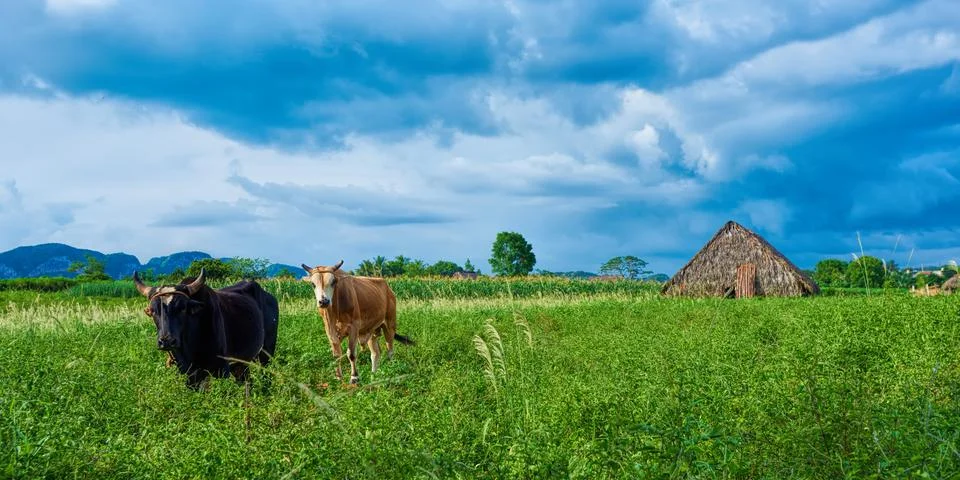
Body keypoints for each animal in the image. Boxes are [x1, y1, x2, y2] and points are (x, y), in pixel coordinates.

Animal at [133, 268, 280, 390]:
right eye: (153, 311)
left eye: (182, 308)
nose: (166, 341)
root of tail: (269, 296)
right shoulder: (189, 373)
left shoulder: (220, 369)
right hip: (241, 362)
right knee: (246, 381)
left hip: (266, 352)